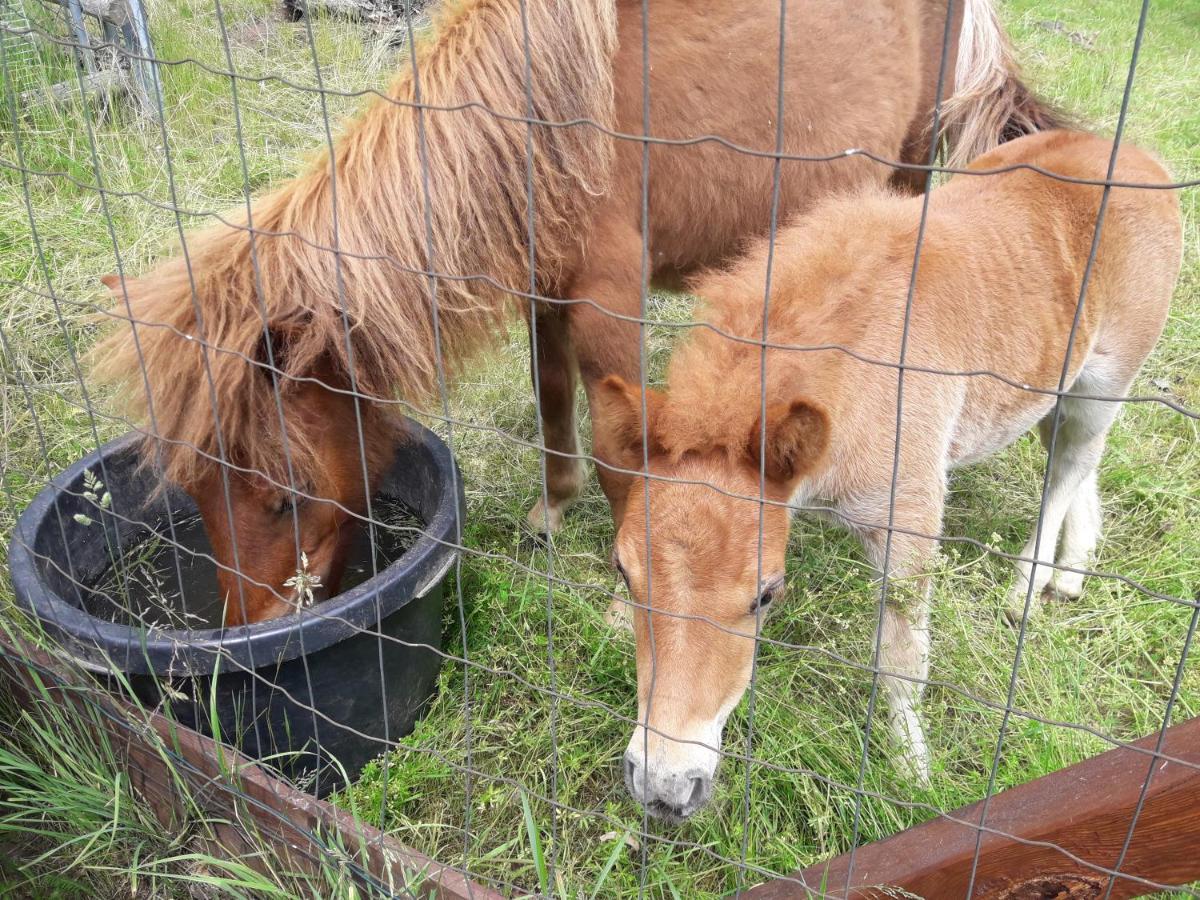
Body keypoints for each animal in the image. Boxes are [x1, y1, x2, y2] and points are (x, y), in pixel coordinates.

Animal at [98, 0, 1065, 628]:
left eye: (284, 496)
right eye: (192, 493)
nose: (248, 631)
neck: (546, 116)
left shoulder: (609, 299)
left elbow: (619, 453)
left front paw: (629, 586)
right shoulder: (547, 286)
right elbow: (552, 397)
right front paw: (551, 510)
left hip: (908, 165)